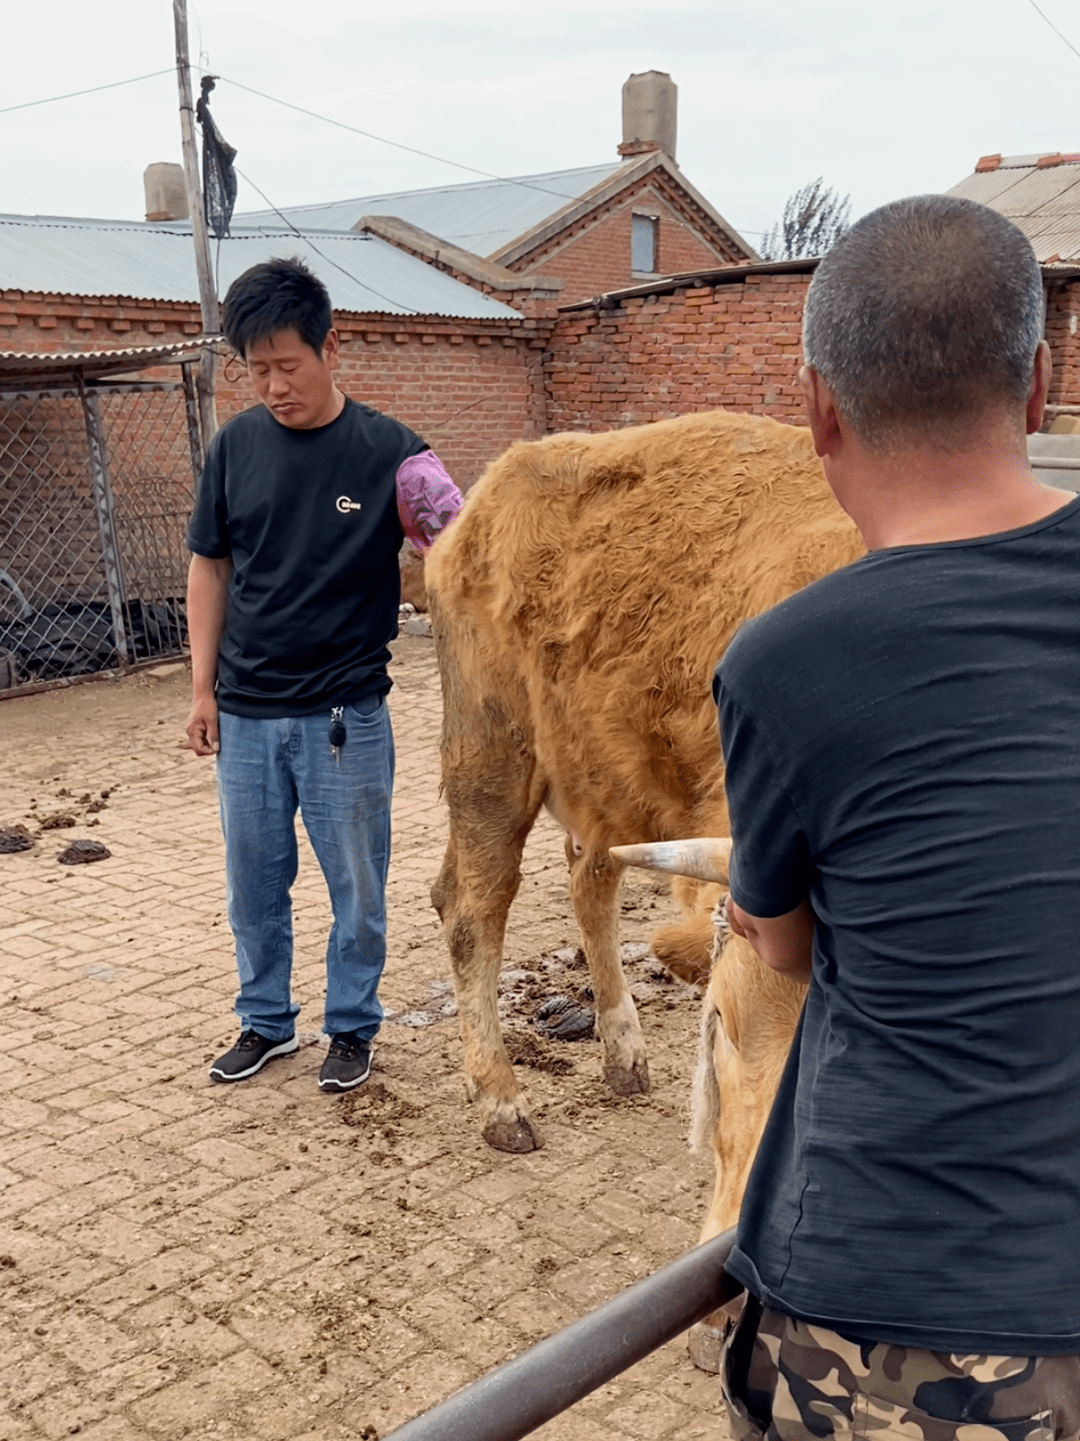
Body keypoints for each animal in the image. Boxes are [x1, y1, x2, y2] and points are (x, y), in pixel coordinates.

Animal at [426, 412, 853, 1152]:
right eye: (723, 1025)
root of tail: (480, 503)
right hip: (492, 759)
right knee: (470, 911)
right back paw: (502, 1104)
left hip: (602, 784)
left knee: (588, 885)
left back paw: (623, 1056)